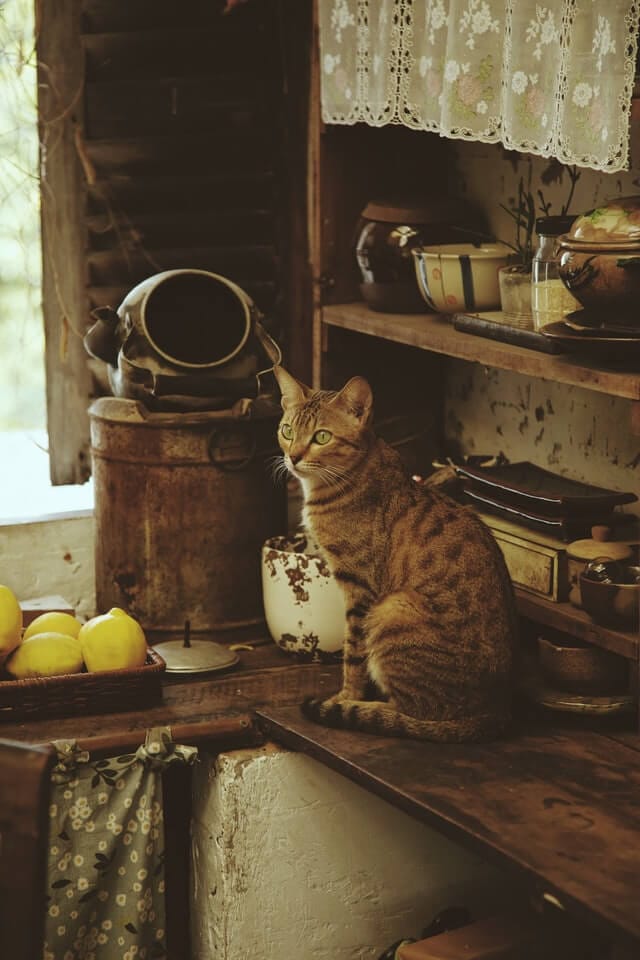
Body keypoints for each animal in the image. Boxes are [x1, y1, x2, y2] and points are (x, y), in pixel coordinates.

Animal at [272, 366, 516, 744]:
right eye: (287, 431)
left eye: (322, 437)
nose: (293, 457)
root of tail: (496, 712)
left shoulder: (359, 589)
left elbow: (353, 655)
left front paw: (346, 696)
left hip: (393, 609)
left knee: (416, 712)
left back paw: (365, 708)